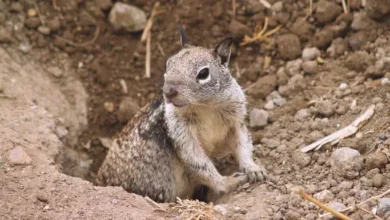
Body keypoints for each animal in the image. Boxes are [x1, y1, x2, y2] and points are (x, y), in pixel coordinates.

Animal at [97, 27, 268, 203]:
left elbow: (243, 144)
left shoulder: (237, 120)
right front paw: (230, 181)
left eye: (204, 73)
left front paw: (254, 169)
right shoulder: (181, 133)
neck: (204, 107)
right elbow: (199, 163)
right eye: (168, 64)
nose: (168, 91)